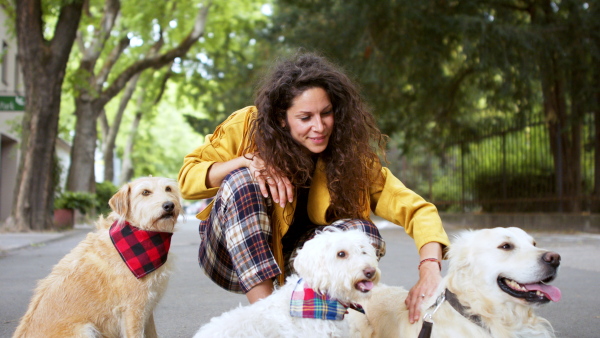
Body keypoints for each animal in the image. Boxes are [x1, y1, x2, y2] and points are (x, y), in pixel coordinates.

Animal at [14, 178, 180, 336]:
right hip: (85, 329)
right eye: (145, 192)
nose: (169, 205)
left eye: (168, 189)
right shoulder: (133, 309)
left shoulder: (147, 308)